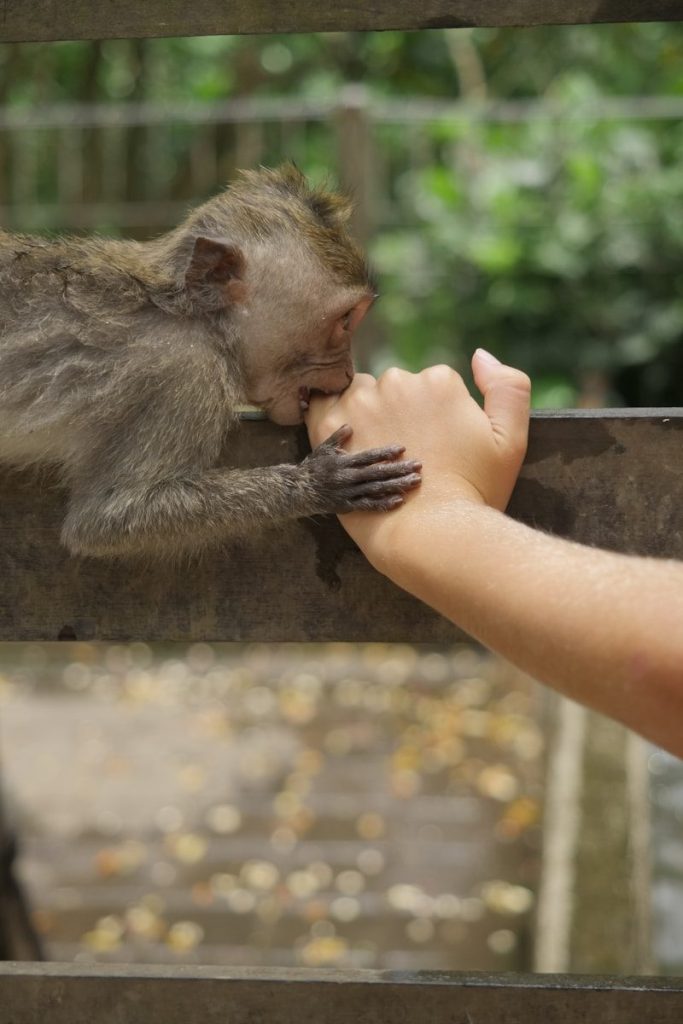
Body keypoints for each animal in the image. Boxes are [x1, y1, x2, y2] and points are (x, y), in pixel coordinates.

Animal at [0, 164, 421, 558]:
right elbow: (108, 516)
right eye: (346, 319)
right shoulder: (185, 374)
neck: (195, 315)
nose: (349, 373)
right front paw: (317, 482)